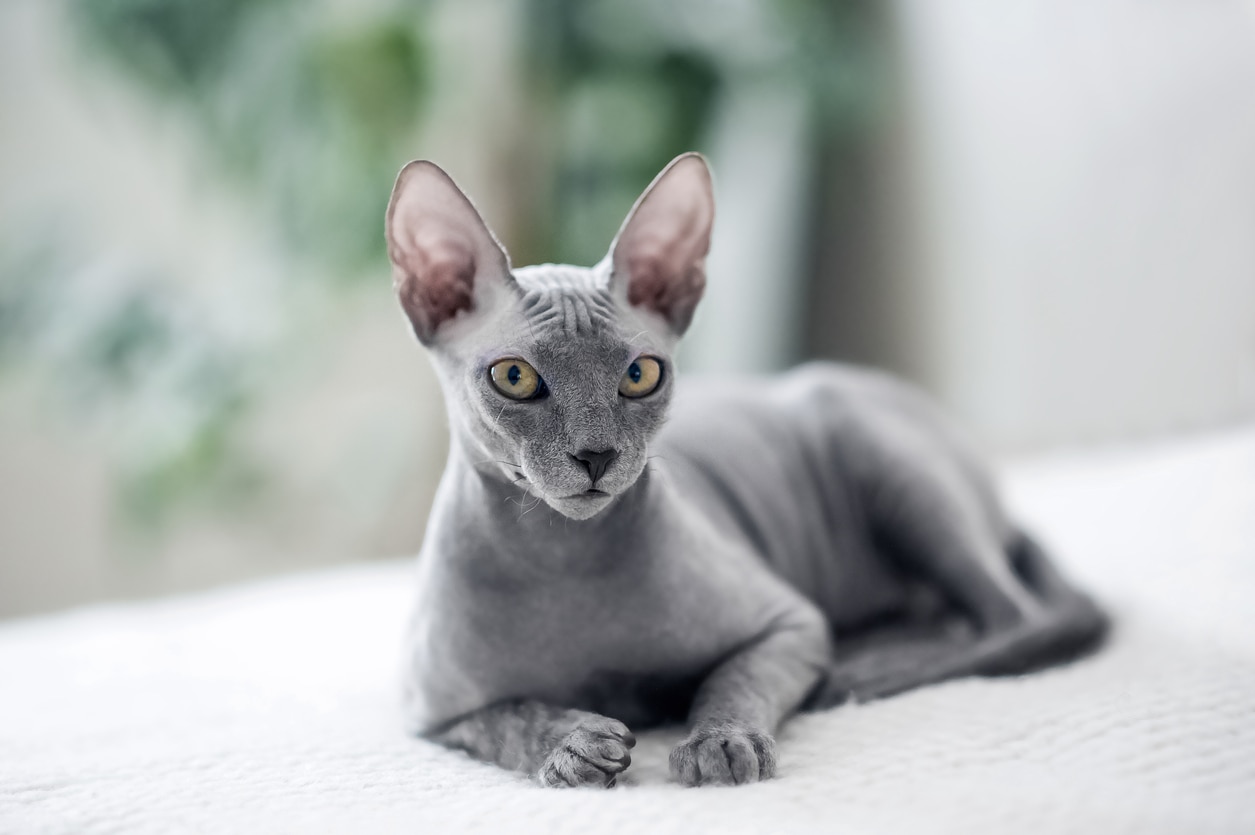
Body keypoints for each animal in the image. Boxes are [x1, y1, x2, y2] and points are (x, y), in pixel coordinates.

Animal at [384, 153, 1109, 783]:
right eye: (514, 377)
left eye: (641, 375)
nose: (595, 454)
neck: (563, 558)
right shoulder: (432, 715)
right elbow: (507, 716)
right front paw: (570, 742)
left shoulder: (790, 625)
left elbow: (733, 676)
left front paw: (719, 740)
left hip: (879, 459)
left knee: (1014, 620)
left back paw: (867, 668)